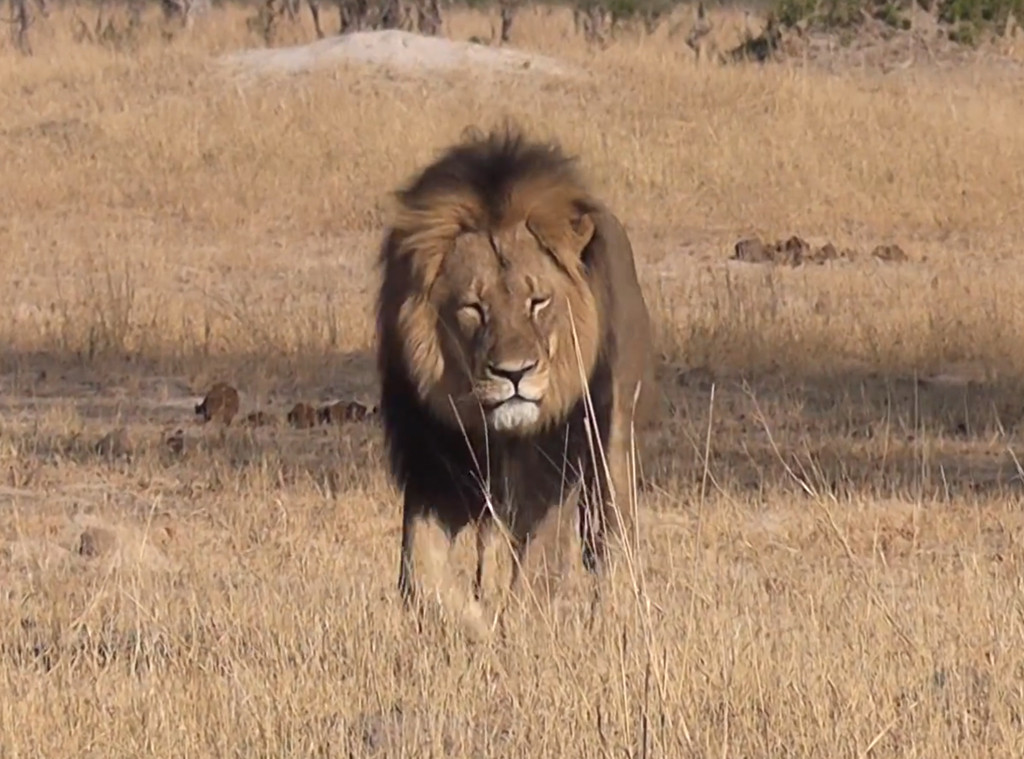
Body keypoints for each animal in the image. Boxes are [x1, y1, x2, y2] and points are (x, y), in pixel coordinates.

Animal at [375, 126, 657, 637]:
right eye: (473, 307)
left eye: (537, 302)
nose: (514, 373)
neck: (498, 434)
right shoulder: (434, 470)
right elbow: (419, 576)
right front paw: (477, 625)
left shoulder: (555, 468)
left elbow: (539, 569)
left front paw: (521, 629)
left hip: (614, 446)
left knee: (613, 537)